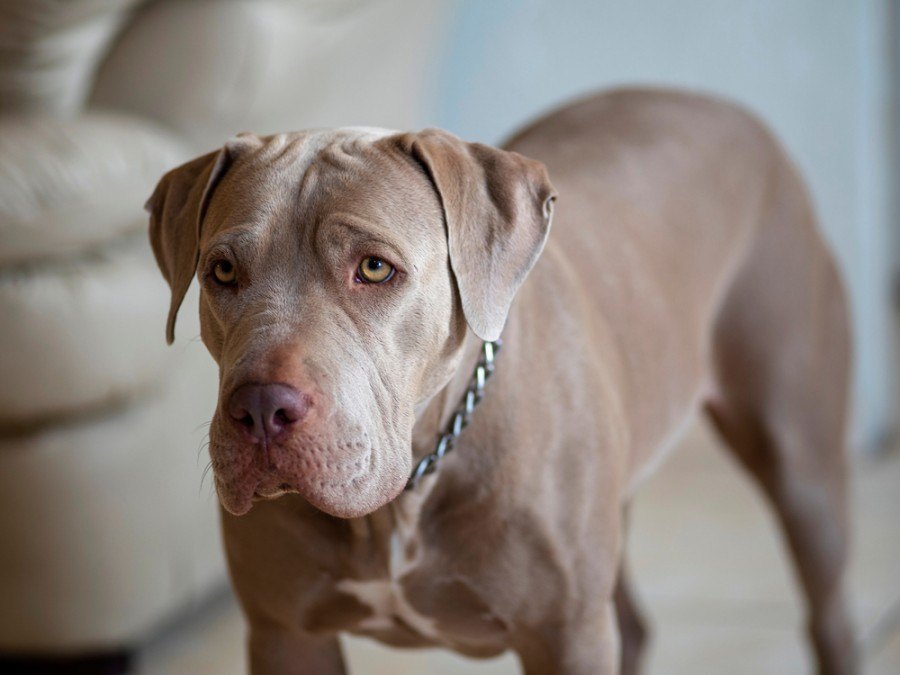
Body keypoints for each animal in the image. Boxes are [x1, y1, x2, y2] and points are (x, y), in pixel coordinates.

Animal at [148, 87, 856, 672]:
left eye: (374, 268)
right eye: (222, 271)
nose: (261, 408)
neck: (408, 492)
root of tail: (726, 107)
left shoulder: (565, 636)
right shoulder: (286, 633)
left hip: (800, 463)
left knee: (827, 611)